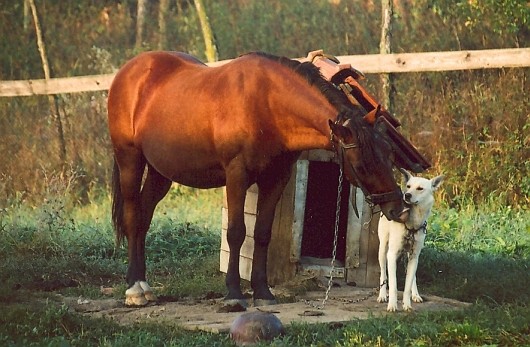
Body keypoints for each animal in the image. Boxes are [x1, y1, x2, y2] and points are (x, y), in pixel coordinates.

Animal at [107, 51, 404, 308]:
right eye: (362, 164)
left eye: (389, 153)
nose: (396, 208)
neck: (267, 104)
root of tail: (129, 71)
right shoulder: (237, 176)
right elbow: (237, 233)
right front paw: (234, 293)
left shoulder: (276, 178)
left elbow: (262, 233)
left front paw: (262, 291)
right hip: (130, 160)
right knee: (133, 217)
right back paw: (134, 290)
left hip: (161, 173)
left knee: (143, 219)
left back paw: (144, 285)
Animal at [374, 169, 444, 312]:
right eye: (408, 186)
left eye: (420, 188)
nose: (406, 195)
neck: (412, 224)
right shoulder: (392, 254)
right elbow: (393, 285)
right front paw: (392, 305)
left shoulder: (414, 256)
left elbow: (407, 285)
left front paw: (407, 305)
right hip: (383, 250)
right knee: (383, 274)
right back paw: (382, 295)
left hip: (410, 257)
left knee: (413, 278)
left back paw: (415, 294)